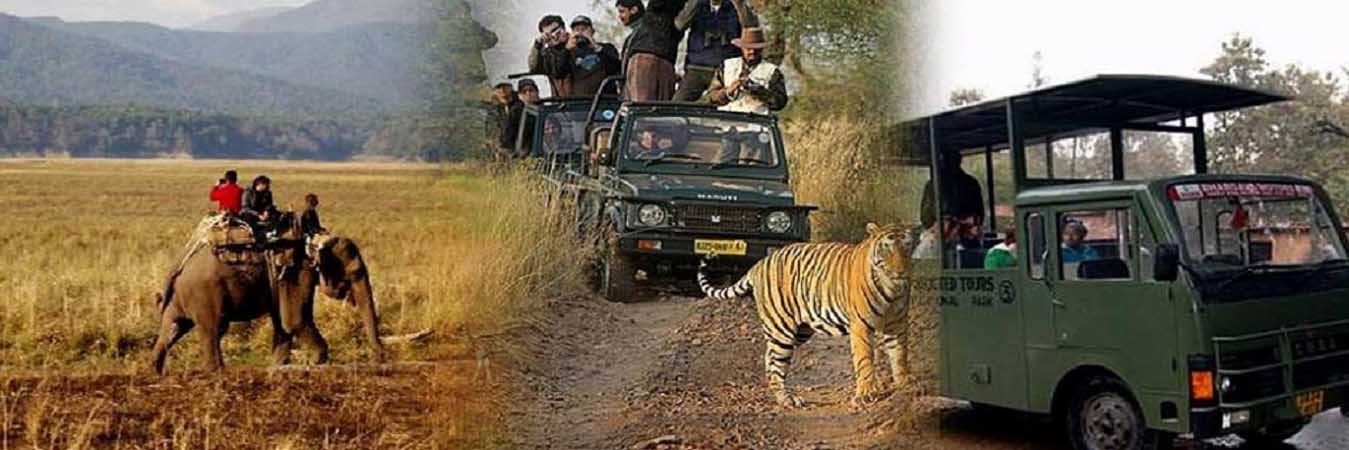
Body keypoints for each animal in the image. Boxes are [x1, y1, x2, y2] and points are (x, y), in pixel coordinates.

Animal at [696, 222, 917, 406]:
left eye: (907, 249)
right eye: (887, 248)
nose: (901, 272)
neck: (892, 288)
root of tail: (760, 263)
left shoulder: (897, 324)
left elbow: (899, 355)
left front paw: (904, 385)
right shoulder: (861, 326)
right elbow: (864, 360)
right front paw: (867, 393)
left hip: (800, 330)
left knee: (769, 356)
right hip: (781, 327)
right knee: (776, 362)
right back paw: (787, 399)